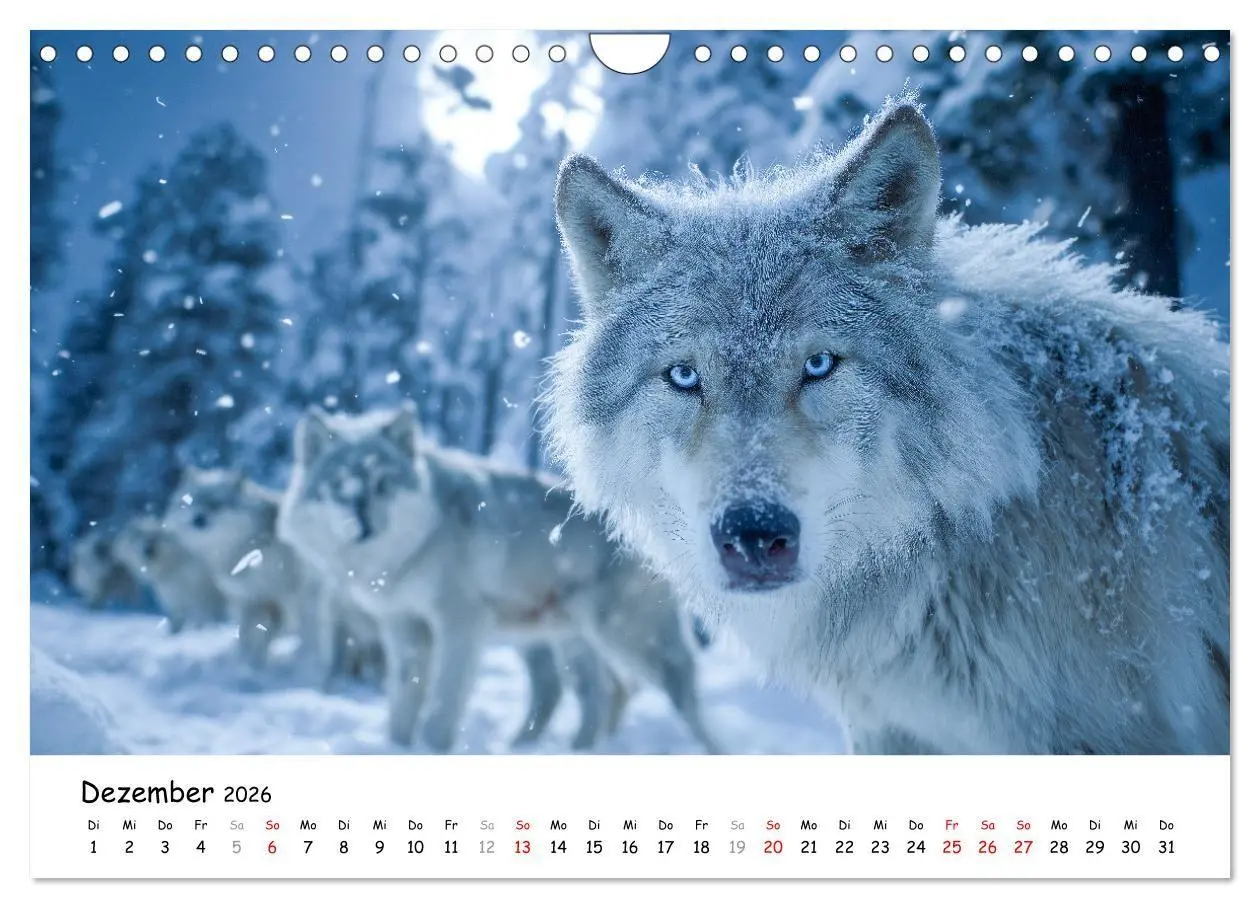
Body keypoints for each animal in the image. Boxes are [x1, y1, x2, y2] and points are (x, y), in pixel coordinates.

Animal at [163, 467, 383, 682]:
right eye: (191, 501)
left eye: (216, 504)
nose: (199, 519)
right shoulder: (253, 602)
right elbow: (247, 639)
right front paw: (249, 670)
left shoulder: (294, 601)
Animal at [276, 405, 719, 753]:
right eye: (340, 487)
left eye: (384, 484)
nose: (364, 526)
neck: (419, 543)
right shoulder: (402, 629)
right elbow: (402, 703)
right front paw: (395, 750)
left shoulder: (459, 626)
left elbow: (441, 709)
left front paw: (430, 751)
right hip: (567, 639)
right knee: (595, 694)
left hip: (622, 635)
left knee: (680, 690)